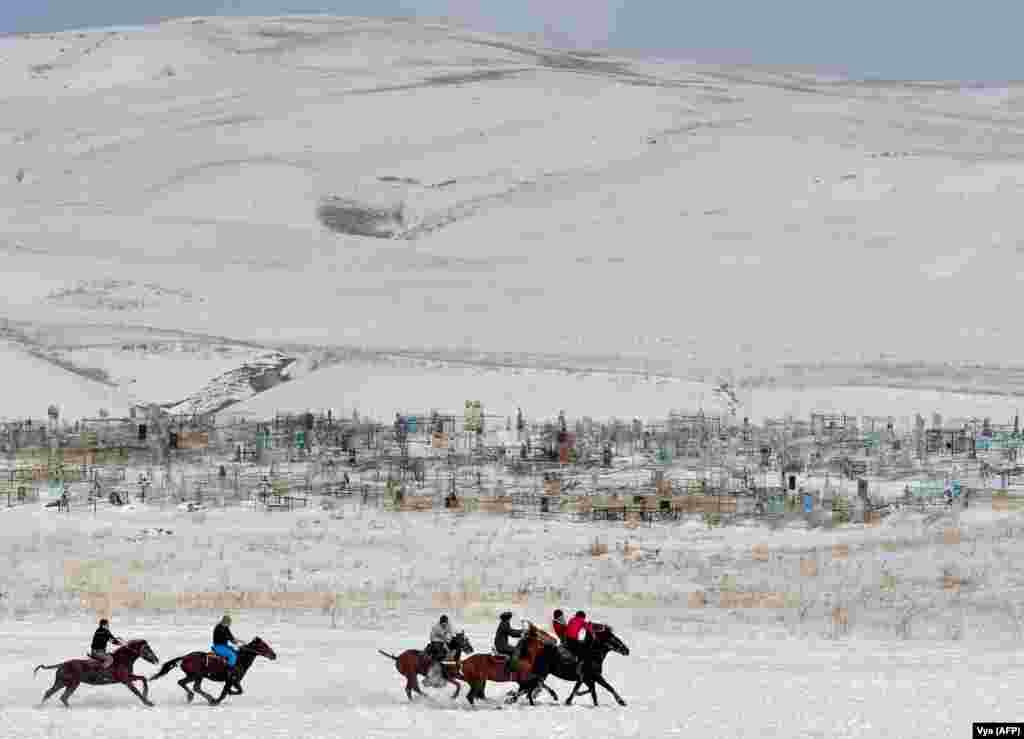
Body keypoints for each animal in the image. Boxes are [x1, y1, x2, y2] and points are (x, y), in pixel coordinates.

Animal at [148, 634, 276, 704]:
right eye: (263, 645)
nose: (274, 655)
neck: (240, 659)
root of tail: (185, 657)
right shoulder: (231, 680)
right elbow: (227, 692)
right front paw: (217, 700)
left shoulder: (235, 681)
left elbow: (239, 691)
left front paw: (223, 696)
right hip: (195, 675)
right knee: (186, 684)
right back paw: (201, 697)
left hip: (197, 676)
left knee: (194, 686)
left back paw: (202, 697)